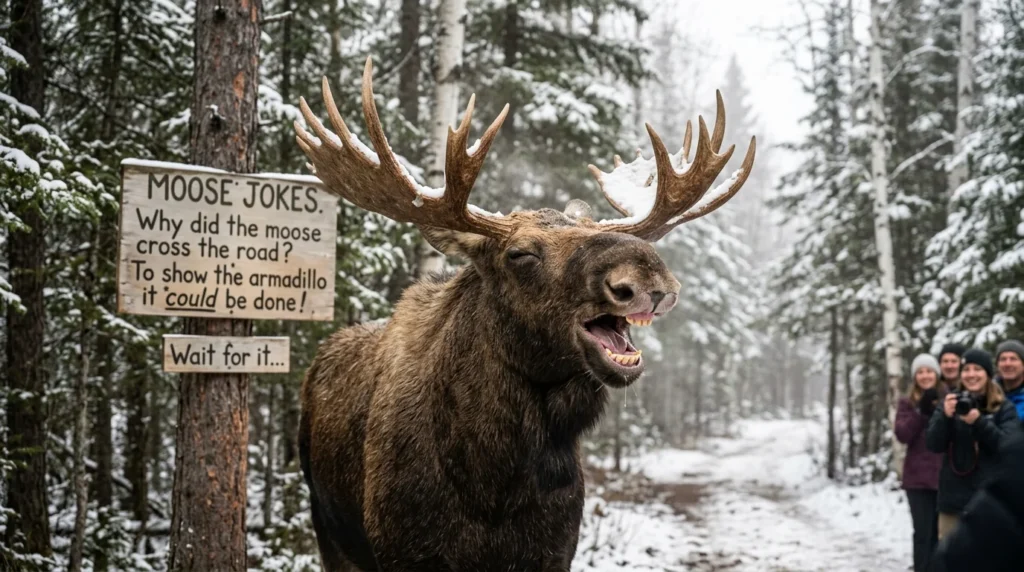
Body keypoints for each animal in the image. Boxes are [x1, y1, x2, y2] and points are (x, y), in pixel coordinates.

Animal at [294, 57, 755, 572]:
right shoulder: (404, 551)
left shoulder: (554, 550)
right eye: (520, 254)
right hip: (329, 530)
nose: (646, 272)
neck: (493, 478)